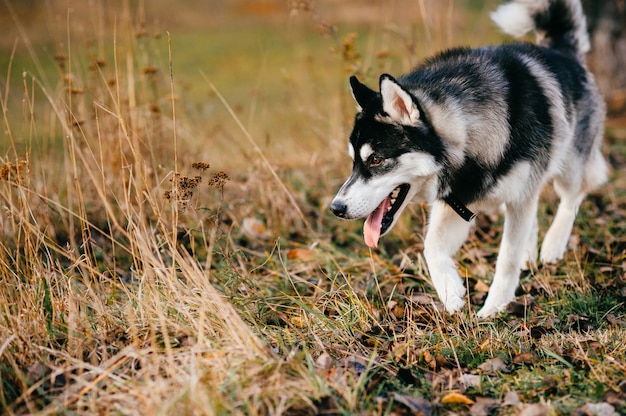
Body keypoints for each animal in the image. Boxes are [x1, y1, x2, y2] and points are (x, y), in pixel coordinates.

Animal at [330, 0, 608, 316]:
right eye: (354, 161)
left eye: (376, 160)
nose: (336, 208)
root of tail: (562, 49)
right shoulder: (458, 201)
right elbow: (431, 246)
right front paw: (450, 292)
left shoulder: (508, 195)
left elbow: (506, 258)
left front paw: (495, 307)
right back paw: (530, 250)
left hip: (570, 165)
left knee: (572, 197)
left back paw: (553, 245)